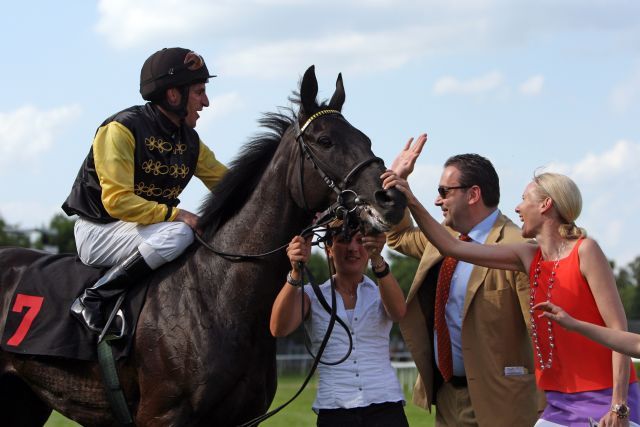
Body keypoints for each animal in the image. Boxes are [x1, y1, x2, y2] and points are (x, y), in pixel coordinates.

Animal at [0, 65, 408, 426]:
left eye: (365, 139)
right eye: (325, 141)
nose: (392, 199)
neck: (218, 296)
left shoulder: (243, 419)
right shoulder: (161, 417)